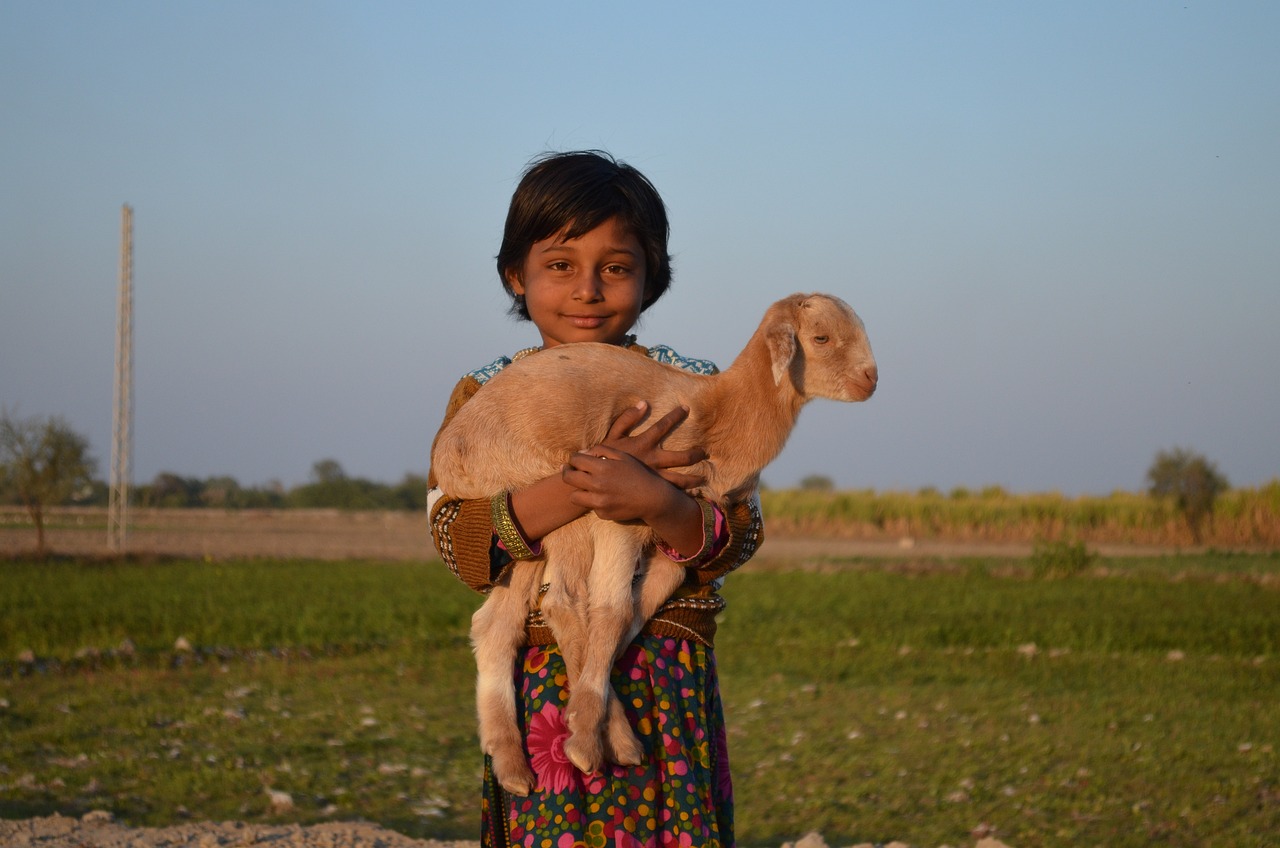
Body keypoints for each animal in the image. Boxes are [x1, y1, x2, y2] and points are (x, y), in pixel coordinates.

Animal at [432, 292, 880, 799]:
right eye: (821, 338)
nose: (871, 380)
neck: (720, 409)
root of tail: (445, 452)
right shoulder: (622, 507)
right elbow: (613, 610)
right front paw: (587, 732)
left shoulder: (679, 535)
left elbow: (637, 612)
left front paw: (598, 712)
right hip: (545, 484)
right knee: (562, 599)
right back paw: (591, 742)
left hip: (522, 530)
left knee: (497, 623)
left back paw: (514, 762)